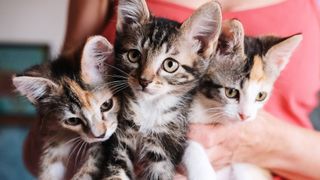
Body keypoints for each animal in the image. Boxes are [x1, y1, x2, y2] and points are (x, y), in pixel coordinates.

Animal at [101, 0, 221, 179]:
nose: (144, 80)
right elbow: (116, 171)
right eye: (134, 55)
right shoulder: (122, 138)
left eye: (170, 64)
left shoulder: (165, 147)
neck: (150, 107)